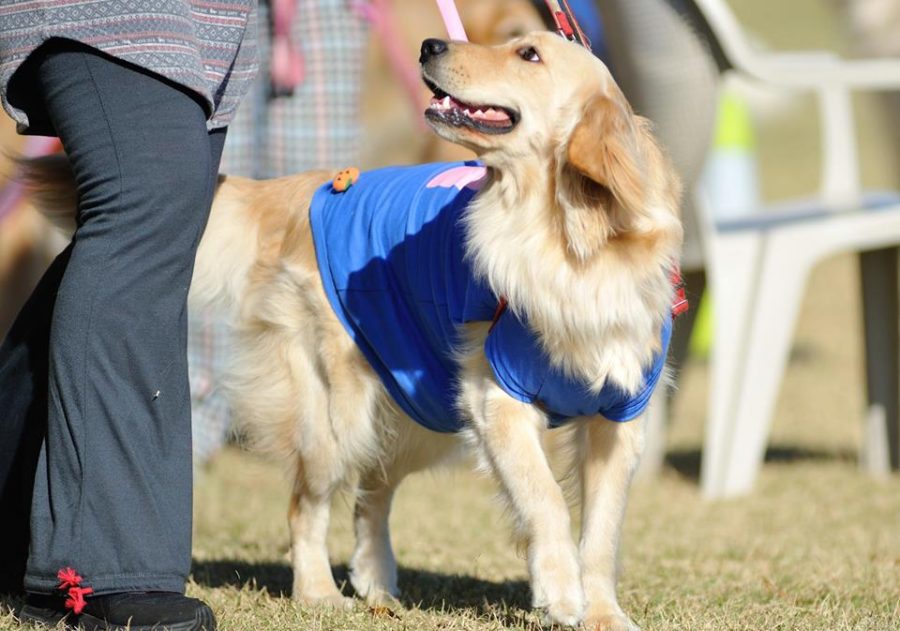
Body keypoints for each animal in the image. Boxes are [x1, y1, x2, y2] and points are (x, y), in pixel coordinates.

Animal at [33, 29, 684, 628]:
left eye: (529, 54)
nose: (430, 44)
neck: (570, 237)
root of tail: (315, 184)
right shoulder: (497, 397)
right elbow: (546, 499)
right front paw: (562, 593)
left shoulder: (618, 419)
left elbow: (601, 531)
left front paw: (602, 612)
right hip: (337, 412)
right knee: (307, 504)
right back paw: (320, 593)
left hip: (420, 406)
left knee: (372, 493)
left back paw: (376, 583)